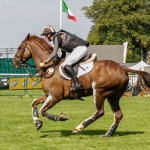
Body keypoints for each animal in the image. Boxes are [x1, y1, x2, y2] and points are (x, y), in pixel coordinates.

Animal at [12, 34, 150, 137]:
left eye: (20, 47)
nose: (13, 63)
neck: (49, 68)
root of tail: (123, 69)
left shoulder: (55, 97)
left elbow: (43, 111)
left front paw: (61, 117)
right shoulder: (48, 95)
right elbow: (34, 103)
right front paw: (37, 123)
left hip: (99, 91)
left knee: (99, 112)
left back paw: (79, 127)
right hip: (113, 96)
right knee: (118, 114)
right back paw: (108, 134)